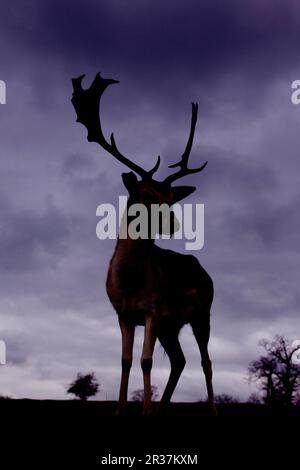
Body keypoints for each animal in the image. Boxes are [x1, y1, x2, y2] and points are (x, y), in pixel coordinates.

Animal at [71, 71, 217, 416]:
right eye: (147, 195)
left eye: (170, 198)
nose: (174, 223)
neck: (130, 283)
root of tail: (205, 271)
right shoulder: (123, 314)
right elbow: (125, 361)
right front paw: (121, 410)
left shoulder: (153, 309)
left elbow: (146, 361)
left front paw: (144, 412)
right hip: (171, 325)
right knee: (180, 360)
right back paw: (162, 408)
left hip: (201, 313)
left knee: (205, 362)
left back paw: (211, 411)